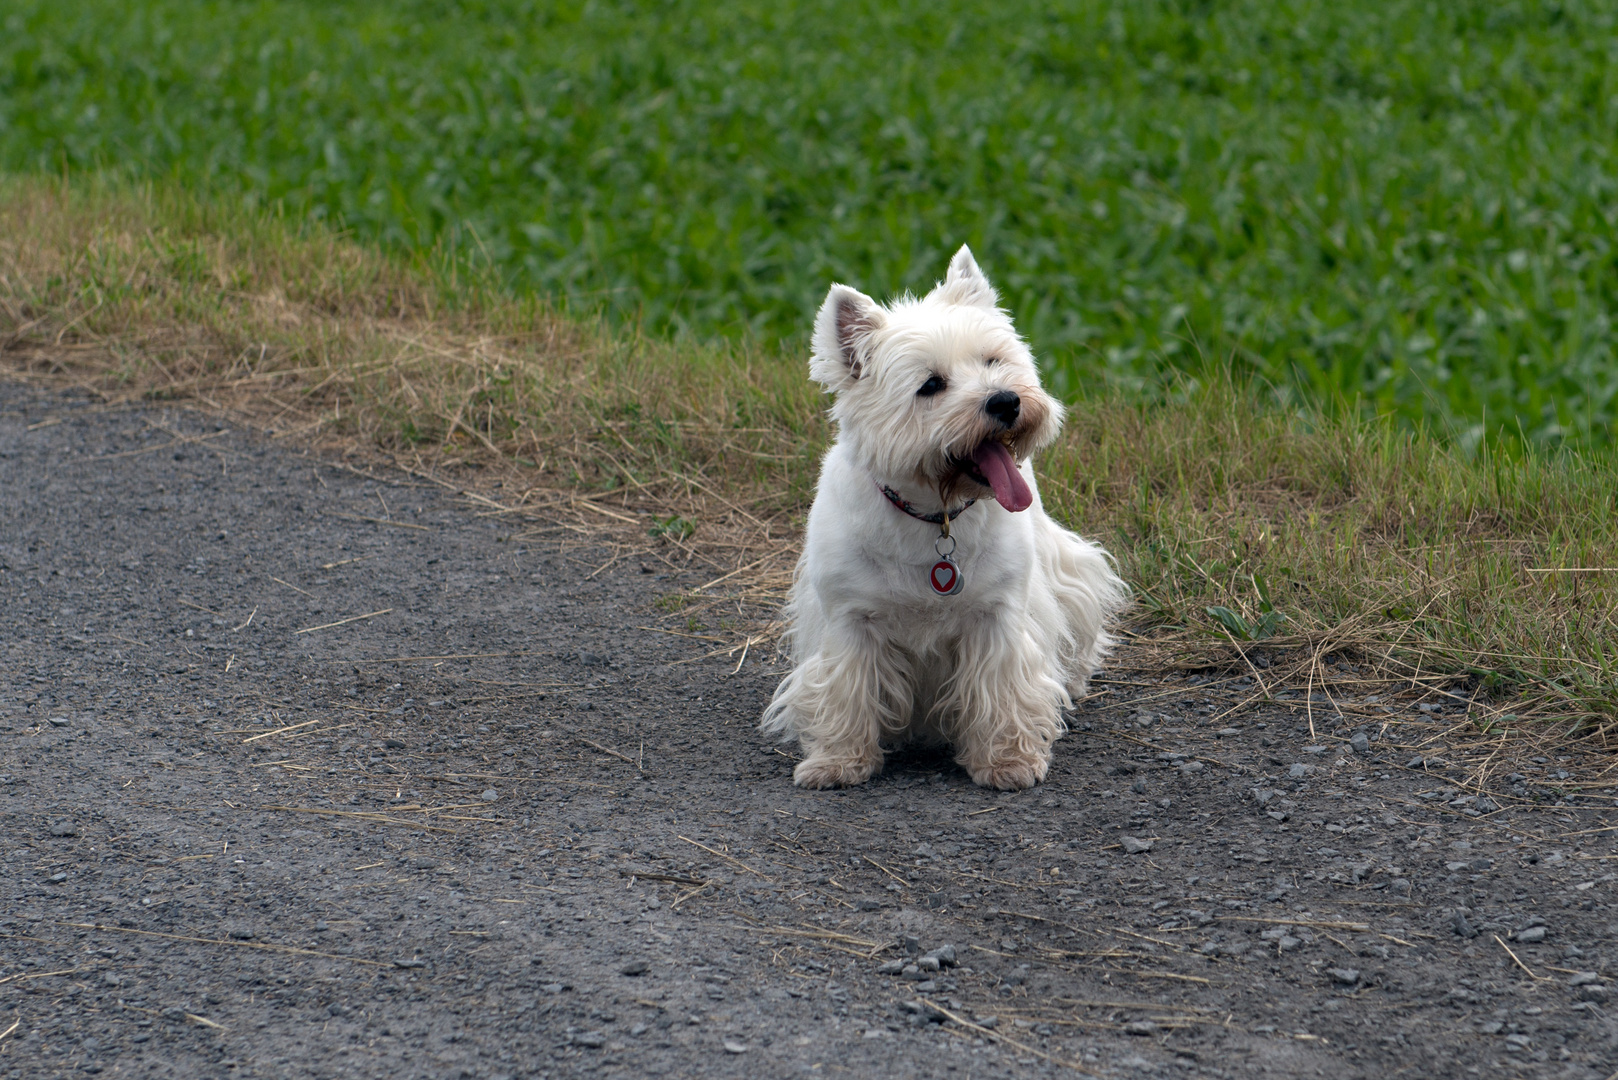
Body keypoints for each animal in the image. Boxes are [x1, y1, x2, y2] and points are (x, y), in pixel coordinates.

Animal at [763, 247, 1132, 793]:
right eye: (931, 385)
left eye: (992, 360)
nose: (1006, 400)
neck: (934, 517)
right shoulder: (850, 620)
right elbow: (845, 690)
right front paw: (837, 762)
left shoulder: (997, 615)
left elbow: (1001, 689)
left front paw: (1007, 762)